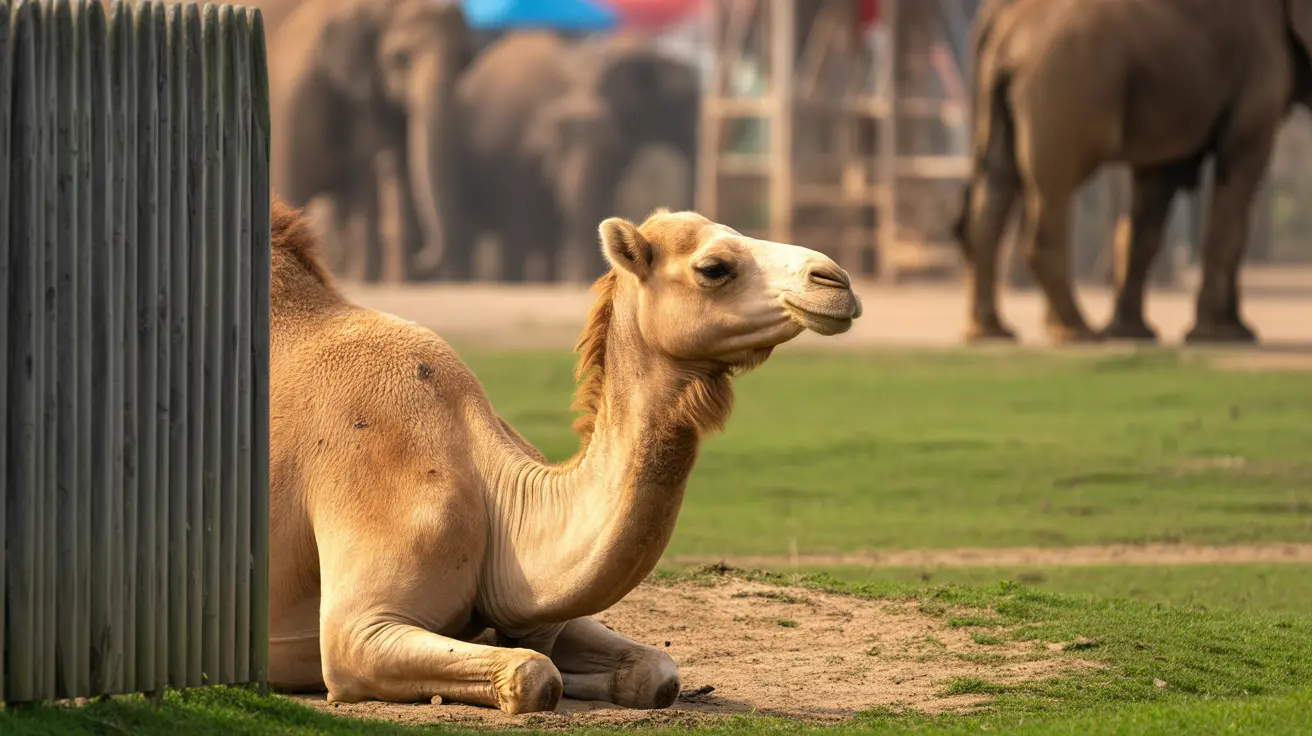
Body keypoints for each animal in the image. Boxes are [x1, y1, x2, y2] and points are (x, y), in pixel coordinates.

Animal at [266, 196, 863, 713]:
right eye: (714, 267)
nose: (836, 280)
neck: (502, 496)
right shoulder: (357, 631)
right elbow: (533, 672)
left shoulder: (541, 610)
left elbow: (654, 672)